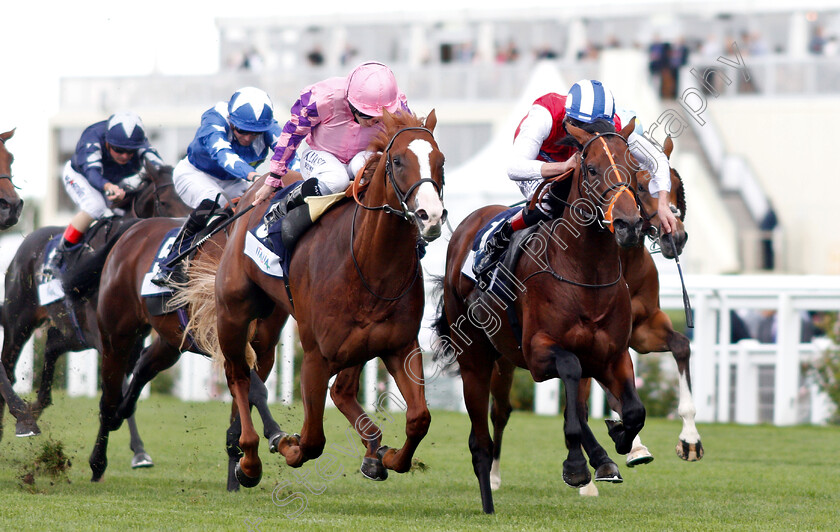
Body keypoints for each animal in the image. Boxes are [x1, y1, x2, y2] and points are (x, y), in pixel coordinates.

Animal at [0, 163, 189, 470]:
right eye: (164, 201)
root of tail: (26, 244)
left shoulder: (129, 338)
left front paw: (136, 449)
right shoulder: (109, 338)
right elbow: (118, 387)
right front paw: (138, 452)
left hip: (75, 334)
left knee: (51, 345)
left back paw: (35, 408)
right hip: (20, 321)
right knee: (8, 366)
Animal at [180, 110, 446, 488]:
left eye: (441, 161)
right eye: (397, 161)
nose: (431, 216)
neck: (370, 265)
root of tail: (249, 197)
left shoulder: (400, 345)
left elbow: (419, 418)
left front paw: (390, 456)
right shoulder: (316, 356)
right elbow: (312, 440)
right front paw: (286, 444)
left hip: (275, 324)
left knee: (299, 379)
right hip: (233, 313)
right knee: (238, 375)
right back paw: (249, 460)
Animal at [434, 119, 644, 512]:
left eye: (635, 168)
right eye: (592, 169)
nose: (629, 224)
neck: (585, 274)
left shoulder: (613, 355)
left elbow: (633, 410)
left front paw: (619, 438)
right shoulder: (537, 353)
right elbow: (571, 373)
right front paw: (576, 466)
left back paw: (602, 458)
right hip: (475, 359)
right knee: (480, 441)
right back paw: (488, 503)